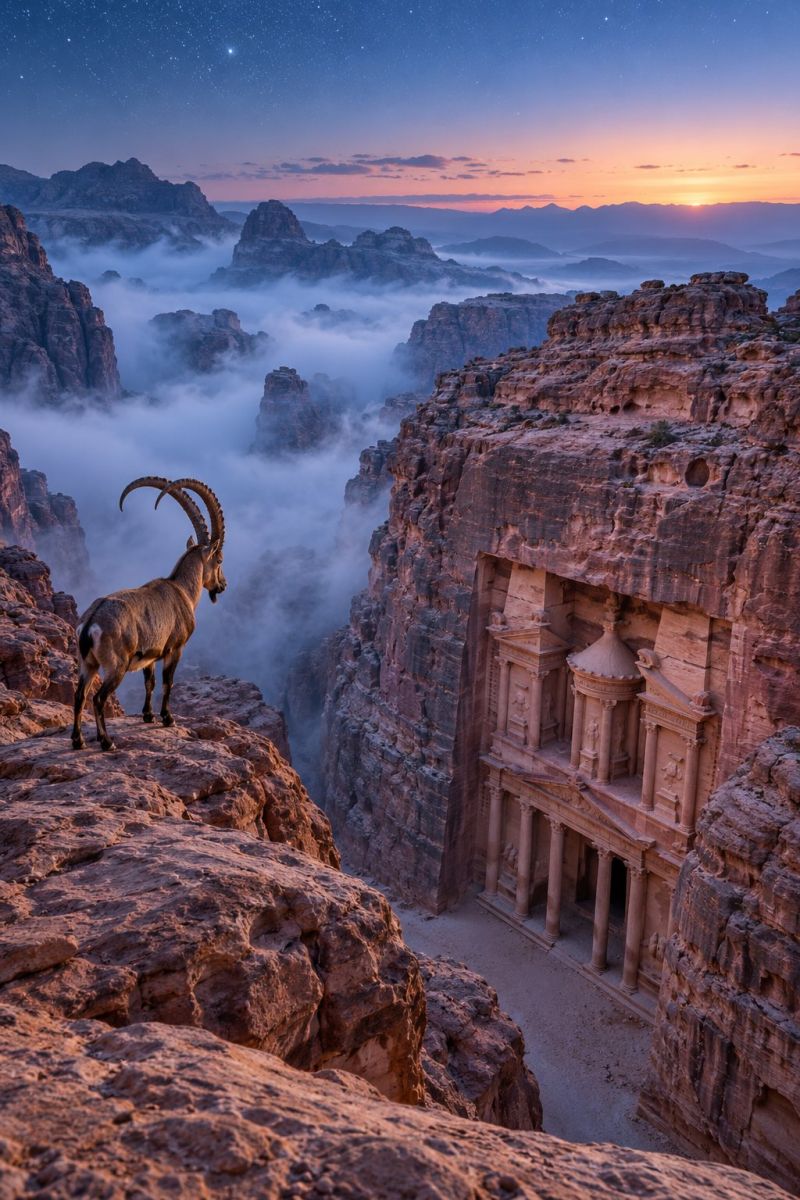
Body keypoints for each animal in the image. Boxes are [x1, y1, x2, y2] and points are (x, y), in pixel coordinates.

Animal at [71, 476, 226, 751]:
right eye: (219, 560)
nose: (223, 585)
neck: (182, 590)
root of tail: (90, 624)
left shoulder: (151, 654)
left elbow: (149, 682)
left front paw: (147, 715)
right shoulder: (175, 648)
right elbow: (167, 681)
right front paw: (167, 718)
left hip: (87, 663)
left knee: (80, 695)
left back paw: (78, 741)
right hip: (116, 665)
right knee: (98, 698)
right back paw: (106, 742)